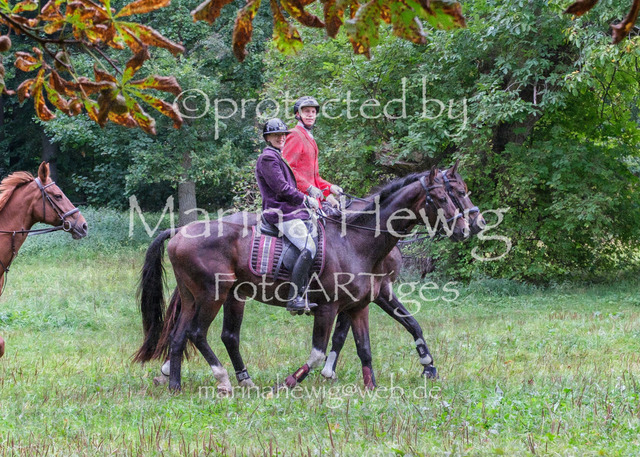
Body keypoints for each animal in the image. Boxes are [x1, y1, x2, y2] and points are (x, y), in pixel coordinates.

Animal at [134, 167, 470, 393]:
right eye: (442, 196)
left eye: (459, 193)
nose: (467, 228)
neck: (356, 240)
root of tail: (179, 231)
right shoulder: (329, 307)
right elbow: (320, 350)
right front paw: (290, 382)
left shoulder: (360, 305)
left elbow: (367, 345)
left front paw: (374, 386)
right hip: (213, 295)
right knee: (197, 333)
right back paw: (223, 379)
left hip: (201, 297)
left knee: (182, 336)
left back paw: (178, 384)